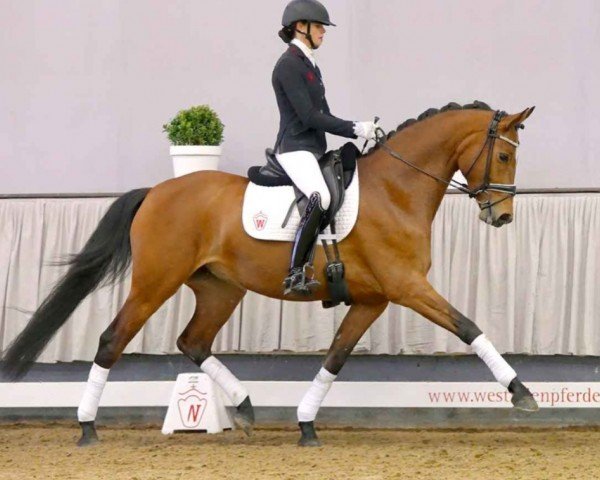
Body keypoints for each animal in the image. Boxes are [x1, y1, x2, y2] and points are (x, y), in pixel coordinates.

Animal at [0, 100, 536, 446]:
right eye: (504, 155)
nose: (503, 217)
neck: (396, 189)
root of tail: (156, 191)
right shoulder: (406, 287)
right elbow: (468, 326)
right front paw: (521, 392)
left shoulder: (374, 298)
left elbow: (336, 357)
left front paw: (306, 423)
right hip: (155, 283)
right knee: (113, 339)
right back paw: (87, 426)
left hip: (220, 289)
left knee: (193, 341)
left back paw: (243, 406)